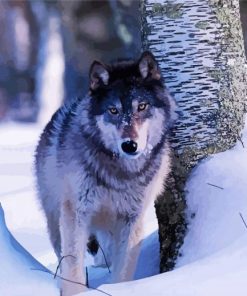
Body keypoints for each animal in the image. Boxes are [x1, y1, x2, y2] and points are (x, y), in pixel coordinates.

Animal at [35, 51, 176, 296]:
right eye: (113, 110)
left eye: (142, 106)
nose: (129, 145)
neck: (120, 174)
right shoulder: (76, 213)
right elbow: (73, 267)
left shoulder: (132, 220)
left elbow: (123, 270)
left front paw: (119, 289)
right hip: (56, 221)